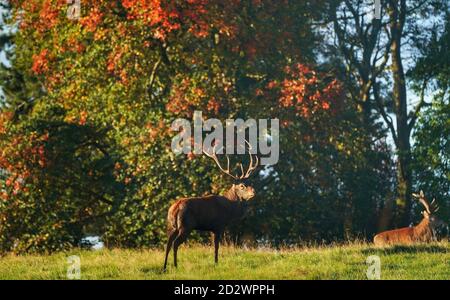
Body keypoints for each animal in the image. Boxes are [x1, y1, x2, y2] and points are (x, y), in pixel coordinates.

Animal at [163, 142, 258, 270]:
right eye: (242, 186)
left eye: (249, 183)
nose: (253, 192)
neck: (230, 210)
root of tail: (175, 208)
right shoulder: (218, 226)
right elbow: (216, 247)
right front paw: (216, 263)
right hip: (185, 226)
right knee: (175, 243)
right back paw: (176, 265)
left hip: (172, 226)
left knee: (168, 243)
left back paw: (164, 267)